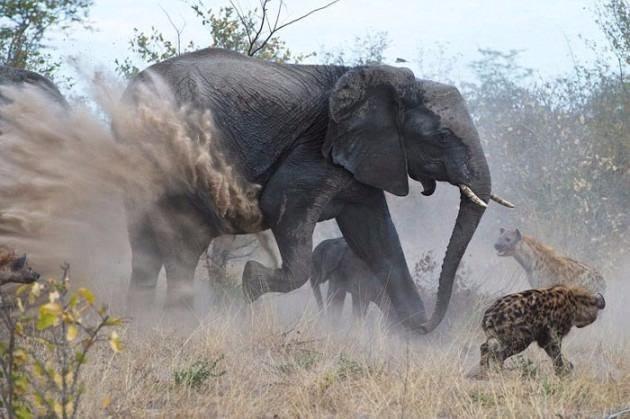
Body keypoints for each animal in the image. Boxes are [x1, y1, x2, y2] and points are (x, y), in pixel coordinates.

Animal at [123, 47, 512, 334]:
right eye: (442, 137)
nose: (427, 323)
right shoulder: (314, 150)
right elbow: (282, 209)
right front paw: (250, 283)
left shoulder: (362, 156)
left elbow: (377, 236)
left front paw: (411, 338)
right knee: (182, 243)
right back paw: (178, 325)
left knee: (144, 247)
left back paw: (140, 323)